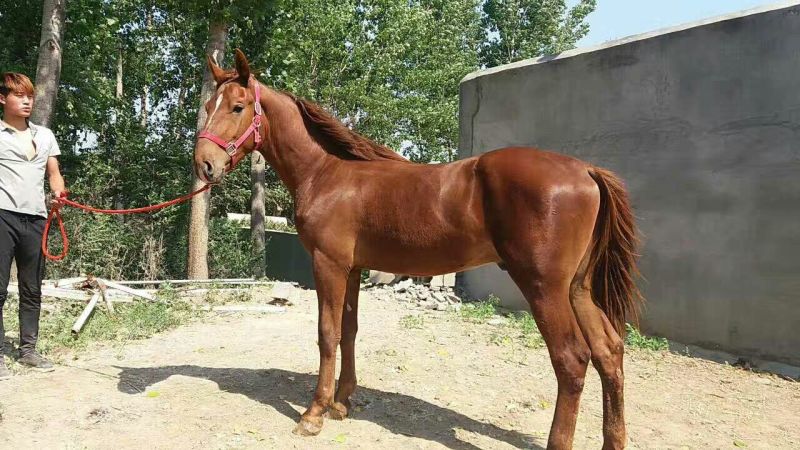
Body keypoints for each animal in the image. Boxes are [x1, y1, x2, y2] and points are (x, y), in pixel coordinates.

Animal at [193, 49, 642, 450]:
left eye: (237, 106)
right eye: (209, 105)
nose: (204, 165)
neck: (327, 174)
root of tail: (586, 170)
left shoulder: (328, 265)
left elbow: (326, 333)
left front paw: (314, 413)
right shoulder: (353, 269)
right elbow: (349, 330)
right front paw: (342, 402)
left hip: (544, 288)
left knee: (572, 359)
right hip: (578, 288)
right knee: (609, 352)